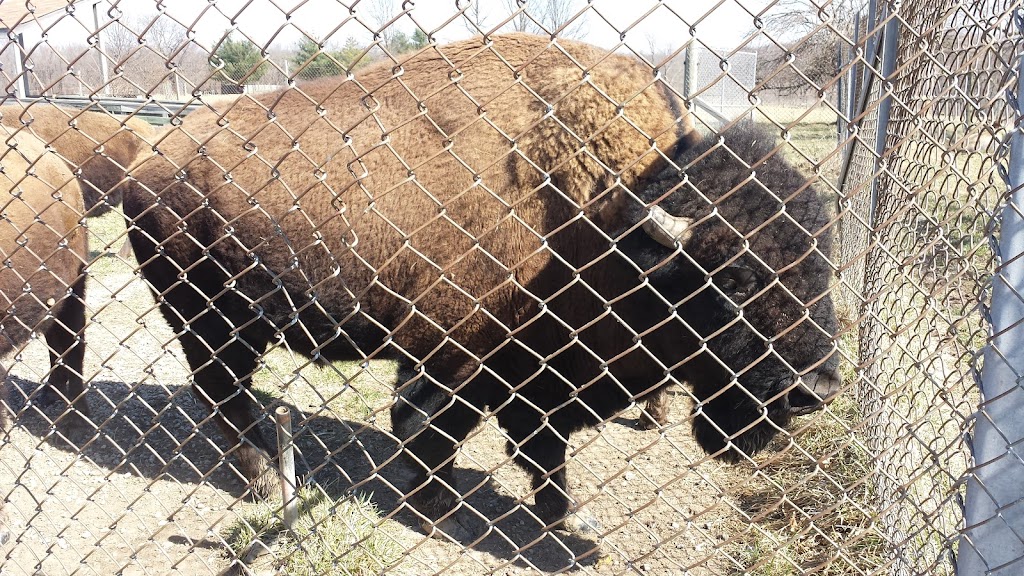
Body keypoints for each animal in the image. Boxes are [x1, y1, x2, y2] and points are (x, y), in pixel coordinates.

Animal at [121, 33, 839, 537]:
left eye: (823, 263)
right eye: (733, 279)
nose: (817, 390)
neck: (603, 217)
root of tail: (151, 155)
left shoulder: (534, 369)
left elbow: (537, 444)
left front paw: (562, 512)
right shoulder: (457, 351)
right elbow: (432, 424)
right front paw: (435, 501)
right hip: (210, 320)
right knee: (222, 394)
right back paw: (267, 483)